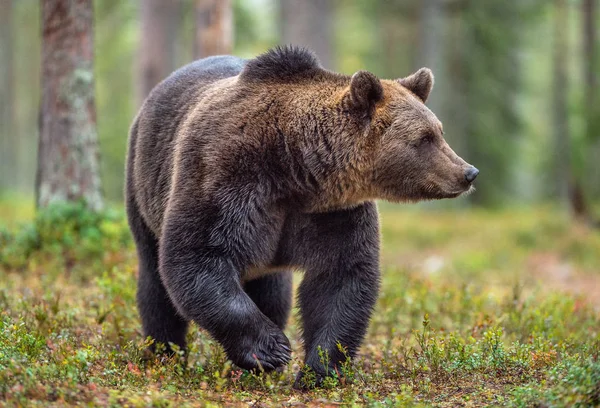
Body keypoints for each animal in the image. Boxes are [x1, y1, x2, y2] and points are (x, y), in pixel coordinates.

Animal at [125, 45, 478, 388]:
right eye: (424, 138)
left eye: (440, 131)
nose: (468, 172)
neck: (295, 166)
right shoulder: (226, 178)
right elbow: (196, 255)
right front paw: (272, 349)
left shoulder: (331, 212)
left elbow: (340, 277)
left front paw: (318, 370)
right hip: (144, 182)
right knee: (155, 285)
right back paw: (165, 354)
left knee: (272, 290)